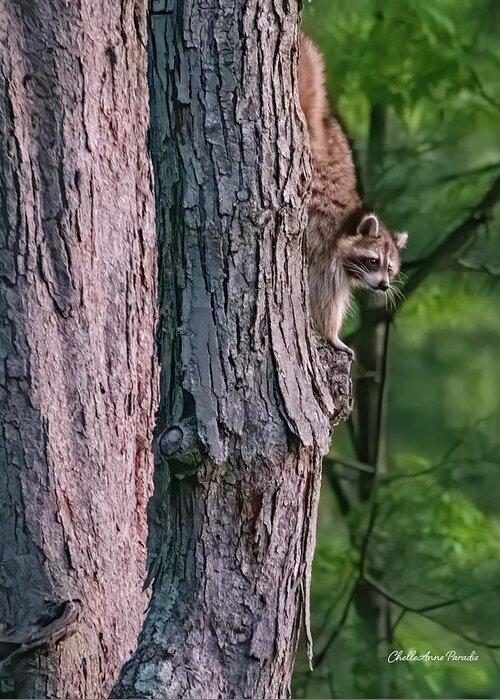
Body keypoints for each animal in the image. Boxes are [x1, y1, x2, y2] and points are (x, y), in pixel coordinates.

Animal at [296, 32, 406, 356]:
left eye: (390, 268)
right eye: (372, 261)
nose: (384, 286)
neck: (349, 223)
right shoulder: (325, 252)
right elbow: (325, 299)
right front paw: (332, 335)